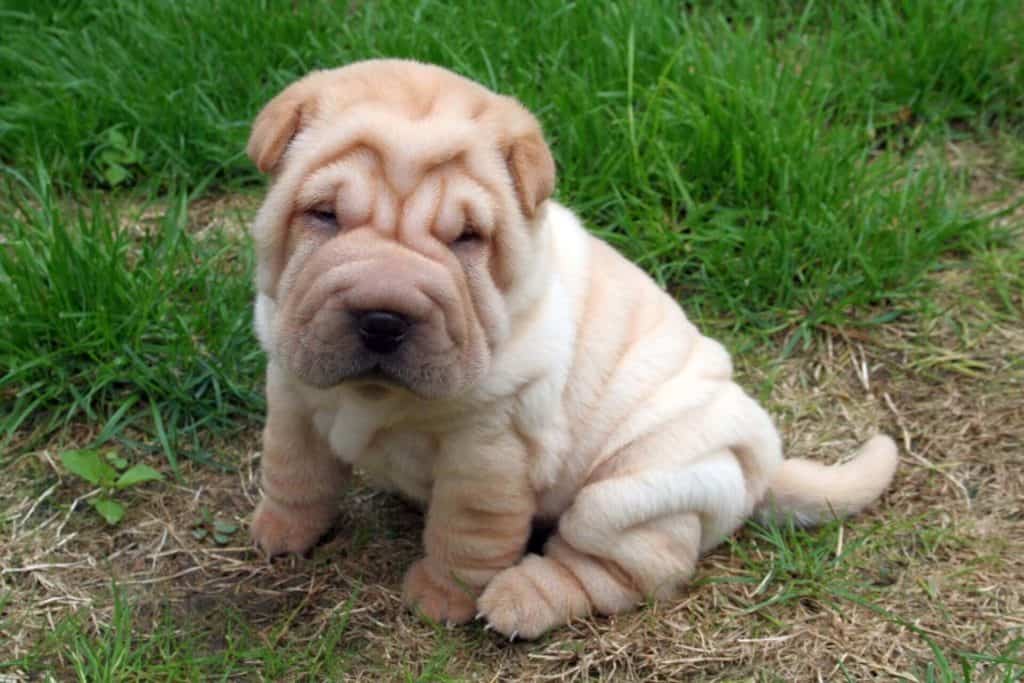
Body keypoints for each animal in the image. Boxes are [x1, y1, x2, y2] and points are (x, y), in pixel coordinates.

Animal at [241, 58, 897, 643]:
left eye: (467, 239)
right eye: (324, 215)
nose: (382, 319)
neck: (372, 395)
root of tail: (762, 463)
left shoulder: (489, 452)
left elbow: (465, 533)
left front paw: (442, 599)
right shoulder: (292, 389)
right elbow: (293, 469)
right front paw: (281, 531)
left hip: (628, 496)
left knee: (613, 569)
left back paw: (520, 599)